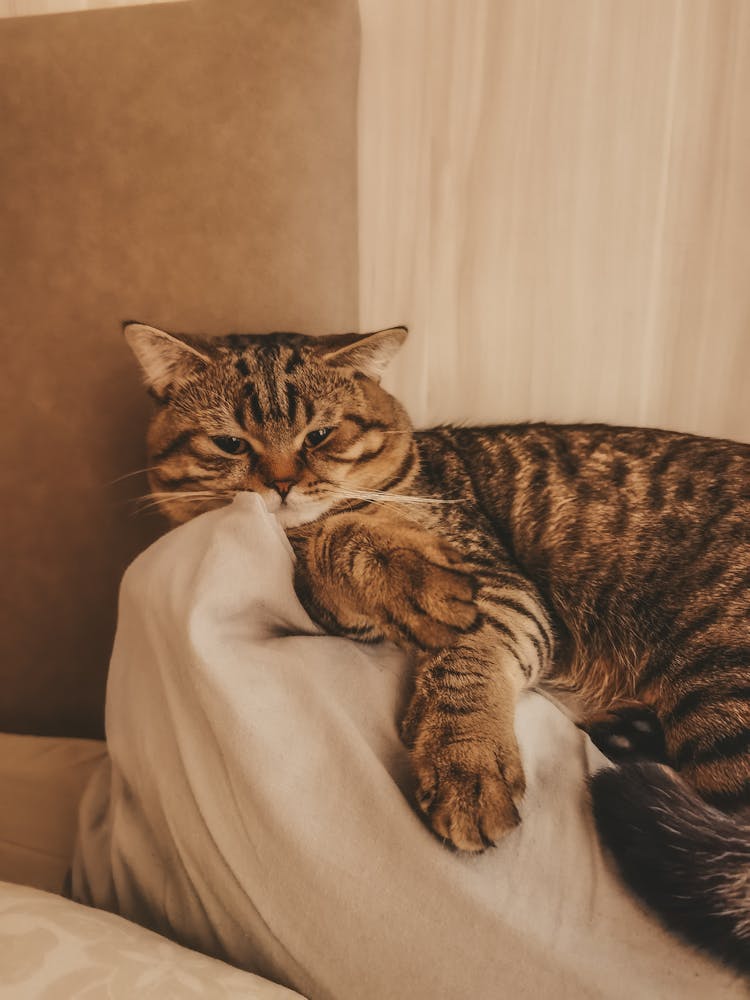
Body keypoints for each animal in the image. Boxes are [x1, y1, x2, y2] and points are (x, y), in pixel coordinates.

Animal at [126, 324, 748, 972]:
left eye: (319, 435)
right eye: (230, 443)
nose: (280, 485)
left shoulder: (502, 586)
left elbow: (463, 662)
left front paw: (465, 759)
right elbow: (341, 541)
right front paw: (402, 572)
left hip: (720, 680)